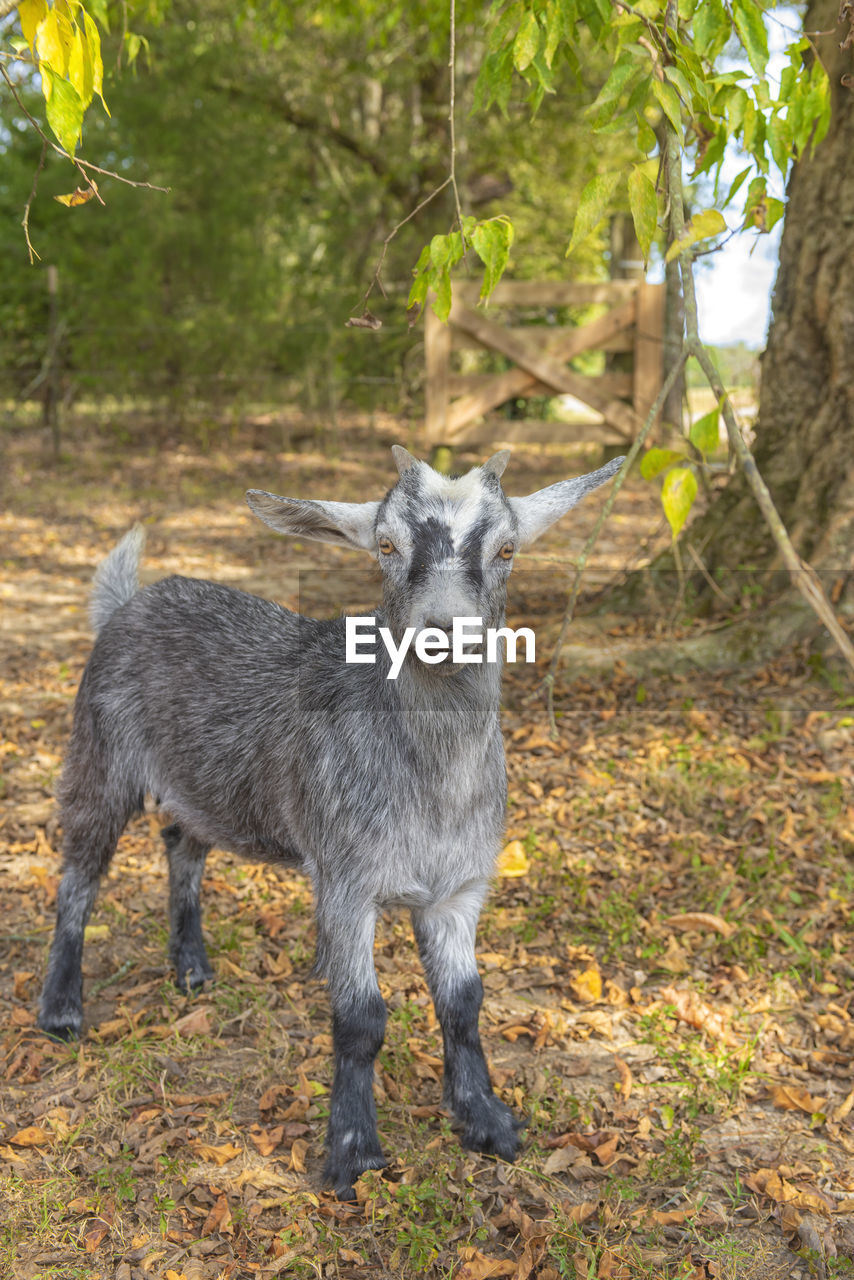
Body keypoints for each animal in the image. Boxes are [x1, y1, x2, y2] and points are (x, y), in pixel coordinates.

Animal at [38, 445, 622, 1192]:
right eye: (385, 545)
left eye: (507, 549)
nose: (444, 632)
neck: (431, 782)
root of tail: (126, 604)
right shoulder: (345, 881)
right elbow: (361, 1018)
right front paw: (352, 1154)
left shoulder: (460, 889)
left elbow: (464, 1002)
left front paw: (487, 1122)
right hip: (100, 750)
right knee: (80, 872)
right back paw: (61, 1007)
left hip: (205, 782)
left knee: (183, 843)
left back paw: (191, 965)